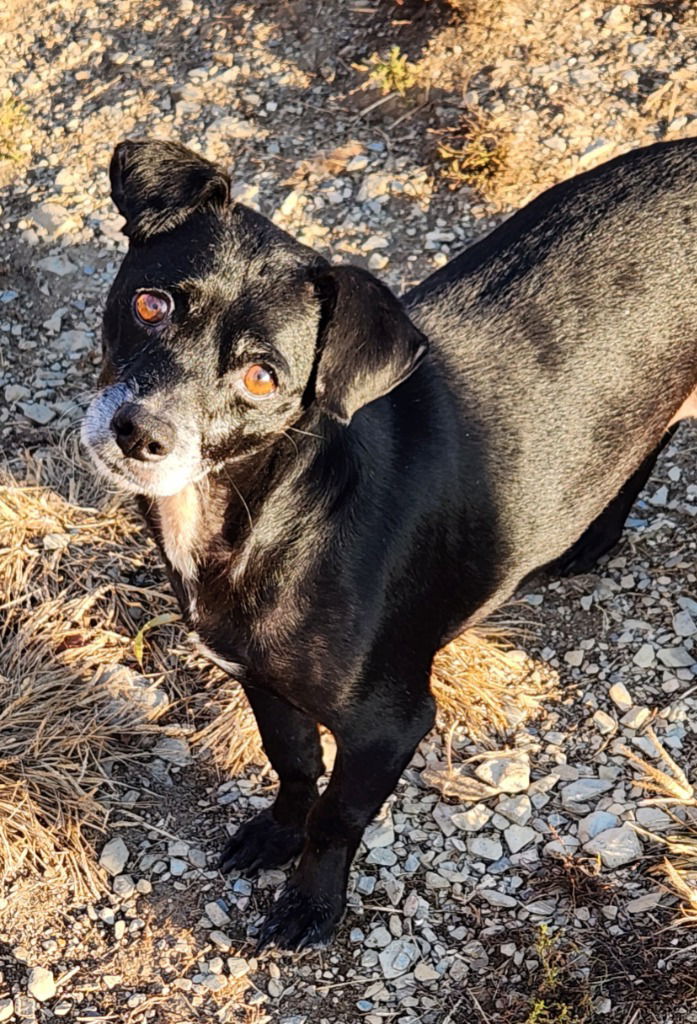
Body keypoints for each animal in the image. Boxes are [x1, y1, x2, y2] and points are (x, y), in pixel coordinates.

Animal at [82, 138, 695, 950]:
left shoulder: (388, 726)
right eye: (151, 304)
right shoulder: (258, 675)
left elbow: (337, 817)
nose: (141, 432)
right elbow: (292, 762)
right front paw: (276, 833)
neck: (277, 511)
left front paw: (311, 903)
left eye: (261, 377)